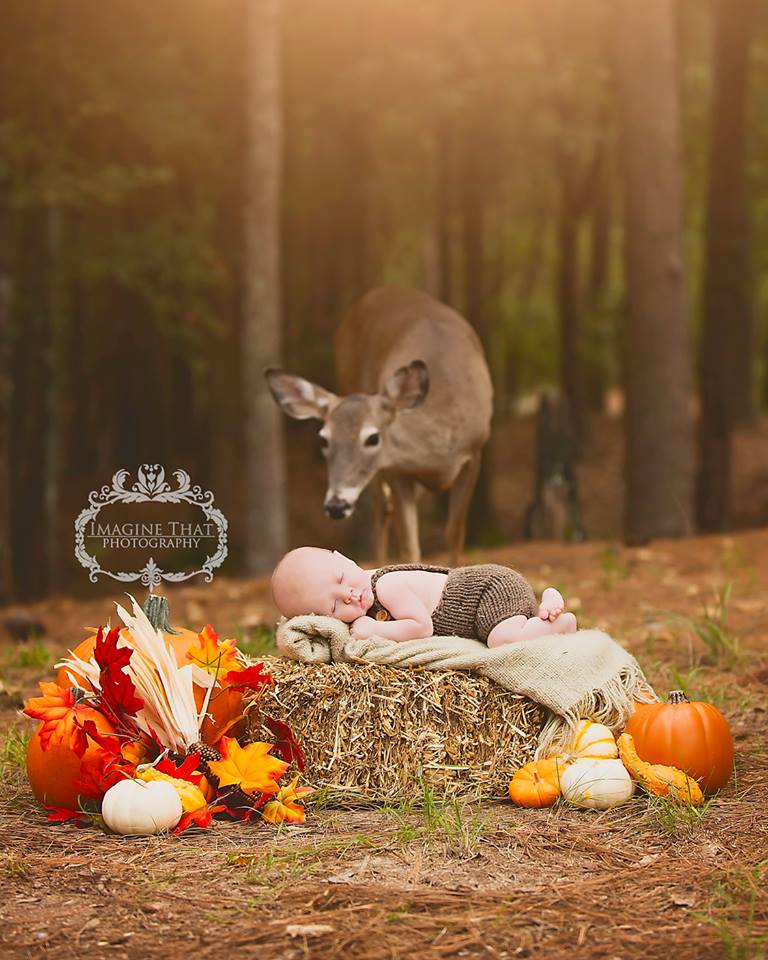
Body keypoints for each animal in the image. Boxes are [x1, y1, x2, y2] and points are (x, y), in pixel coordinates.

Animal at [266, 288, 492, 568]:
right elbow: (409, 546)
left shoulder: (474, 453)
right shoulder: (395, 469)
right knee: (381, 511)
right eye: (324, 440)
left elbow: (454, 534)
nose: (336, 506)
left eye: (372, 438)